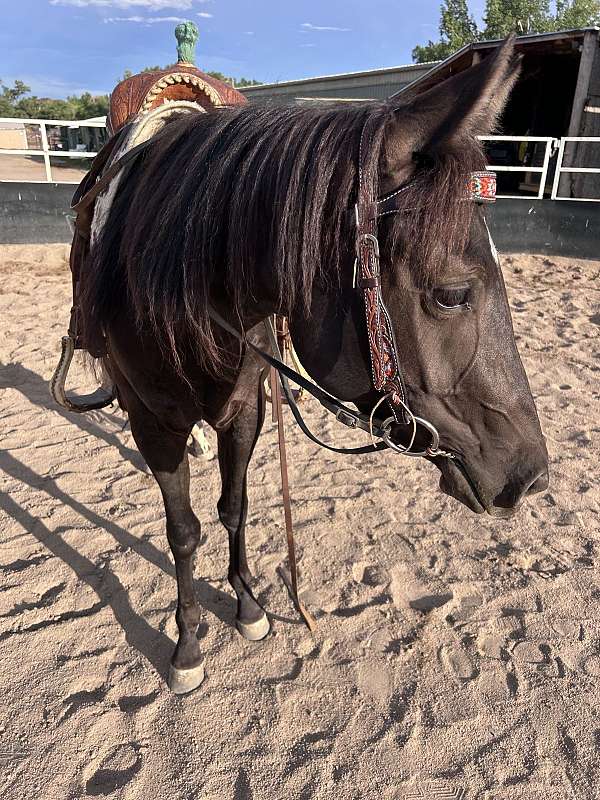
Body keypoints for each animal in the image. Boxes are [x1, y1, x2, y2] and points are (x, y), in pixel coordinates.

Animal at [75, 38, 548, 693]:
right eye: (452, 294)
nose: (532, 476)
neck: (177, 278)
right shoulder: (153, 423)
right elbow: (184, 531)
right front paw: (188, 642)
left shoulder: (244, 409)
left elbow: (234, 508)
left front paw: (249, 607)